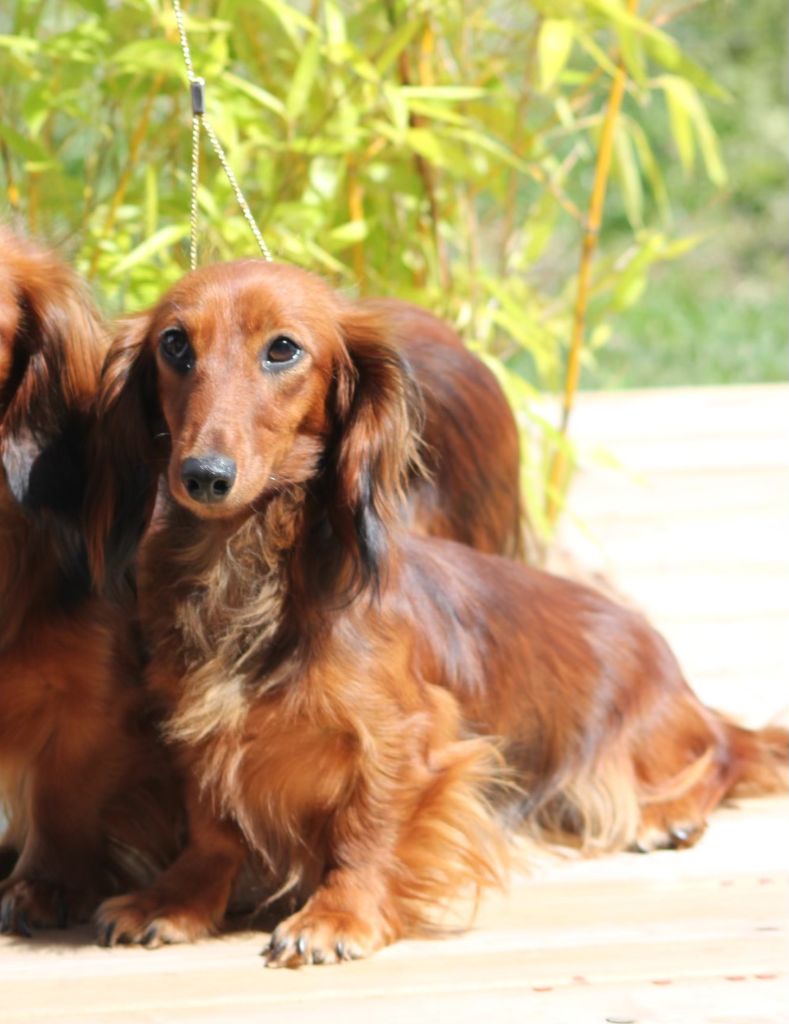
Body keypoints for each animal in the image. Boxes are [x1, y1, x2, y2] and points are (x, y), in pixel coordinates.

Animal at [84, 260, 781, 962]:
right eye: (176, 344)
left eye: (282, 349)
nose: (204, 475)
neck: (246, 568)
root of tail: (669, 665)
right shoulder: (200, 726)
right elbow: (212, 823)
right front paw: (174, 901)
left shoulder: (410, 736)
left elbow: (370, 822)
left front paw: (338, 915)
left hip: (628, 746)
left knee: (728, 752)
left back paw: (670, 814)